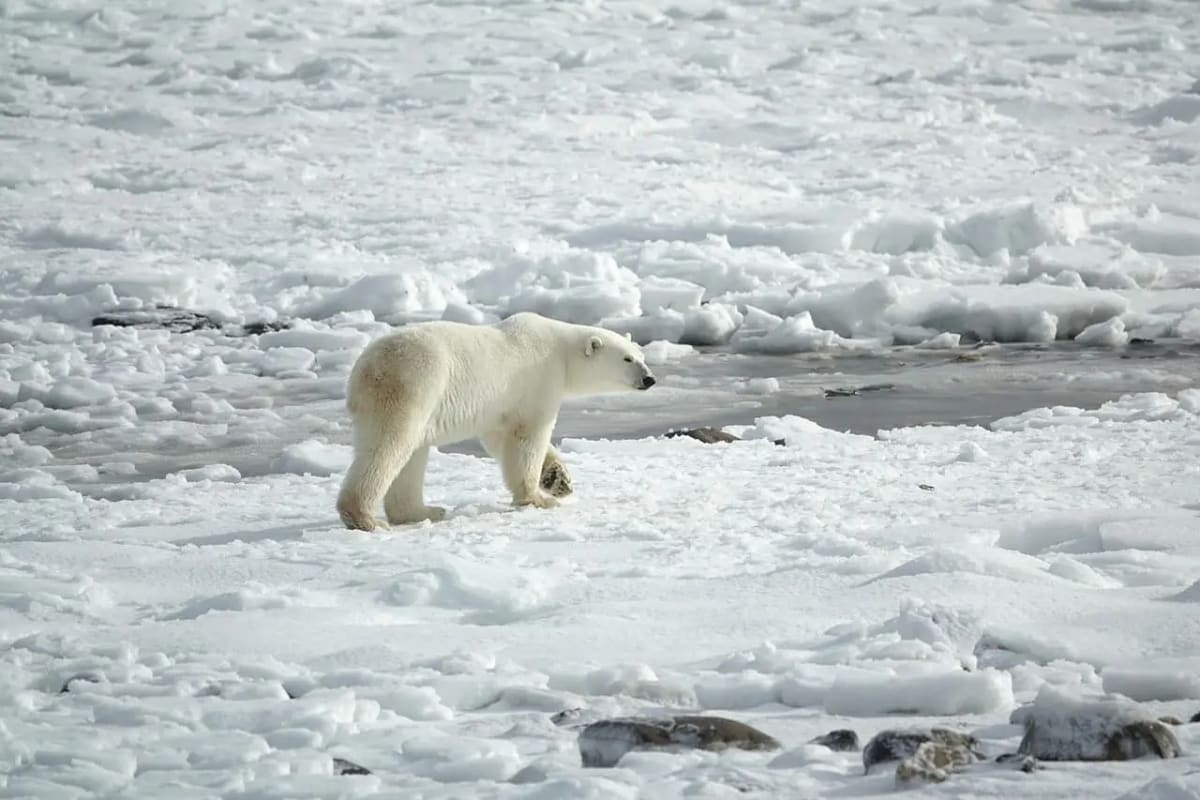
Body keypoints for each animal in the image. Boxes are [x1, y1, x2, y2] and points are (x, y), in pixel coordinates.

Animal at [336, 312, 657, 531]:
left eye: (641, 355)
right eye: (627, 359)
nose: (650, 379)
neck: (561, 351)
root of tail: (364, 370)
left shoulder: (500, 405)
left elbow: (500, 438)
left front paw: (558, 480)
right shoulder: (538, 379)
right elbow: (528, 436)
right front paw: (539, 498)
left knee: (412, 454)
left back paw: (425, 511)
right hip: (413, 386)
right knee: (389, 446)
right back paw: (365, 518)